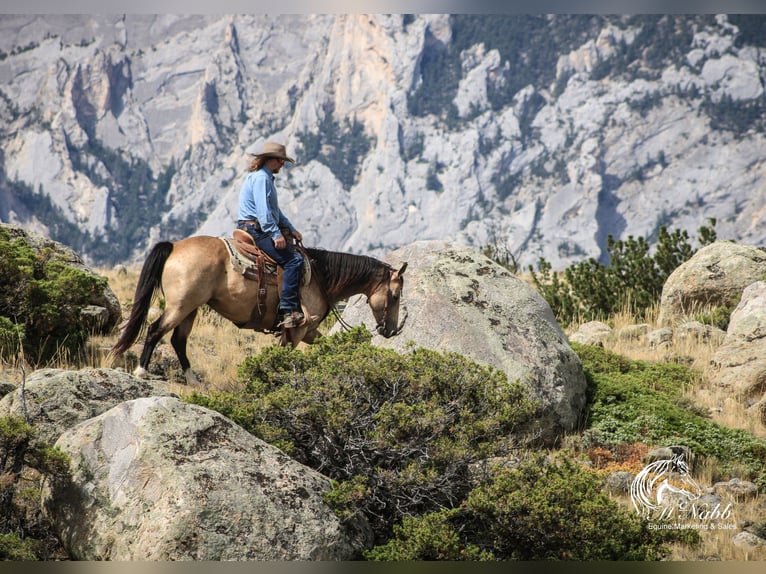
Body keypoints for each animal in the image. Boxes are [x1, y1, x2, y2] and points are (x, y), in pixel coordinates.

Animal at [110, 234, 408, 388]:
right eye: (394, 295)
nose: (391, 330)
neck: (321, 277)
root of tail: (174, 246)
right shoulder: (297, 328)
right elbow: (283, 358)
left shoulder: (309, 331)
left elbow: (328, 347)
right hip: (180, 306)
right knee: (155, 330)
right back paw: (141, 371)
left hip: (191, 308)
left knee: (178, 341)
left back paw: (193, 381)